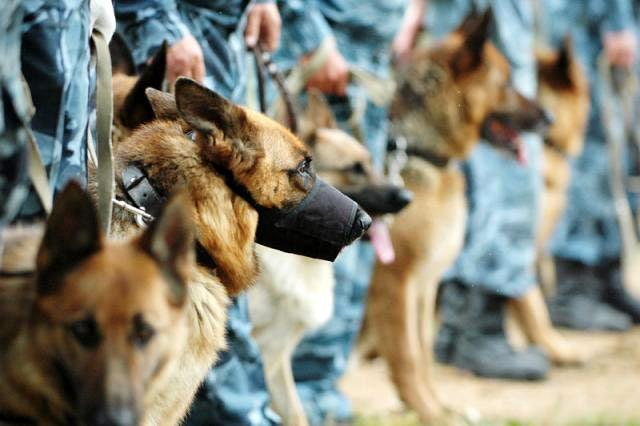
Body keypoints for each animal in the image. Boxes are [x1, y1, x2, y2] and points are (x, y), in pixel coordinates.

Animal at [364, 10, 552, 422]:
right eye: (506, 82)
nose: (549, 117)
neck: (419, 149)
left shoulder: (423, 286)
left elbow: (423, 352)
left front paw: (435, 406)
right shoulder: (395, 282)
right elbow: (407, 355)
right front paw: (427, 412)